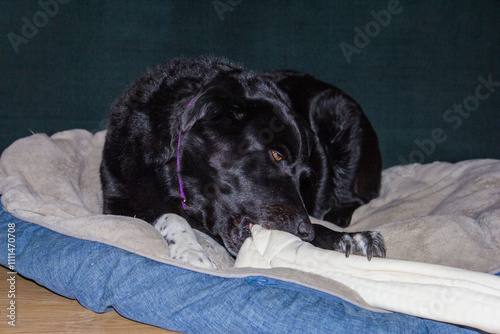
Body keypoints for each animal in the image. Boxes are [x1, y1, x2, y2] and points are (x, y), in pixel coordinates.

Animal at [99, 55, 384, 264]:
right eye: (277, 155)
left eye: (304, 178)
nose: (306, 231)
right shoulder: (117, 205)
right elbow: (169, 216)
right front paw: (192, 252)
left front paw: (351, 239)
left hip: (340, 113)